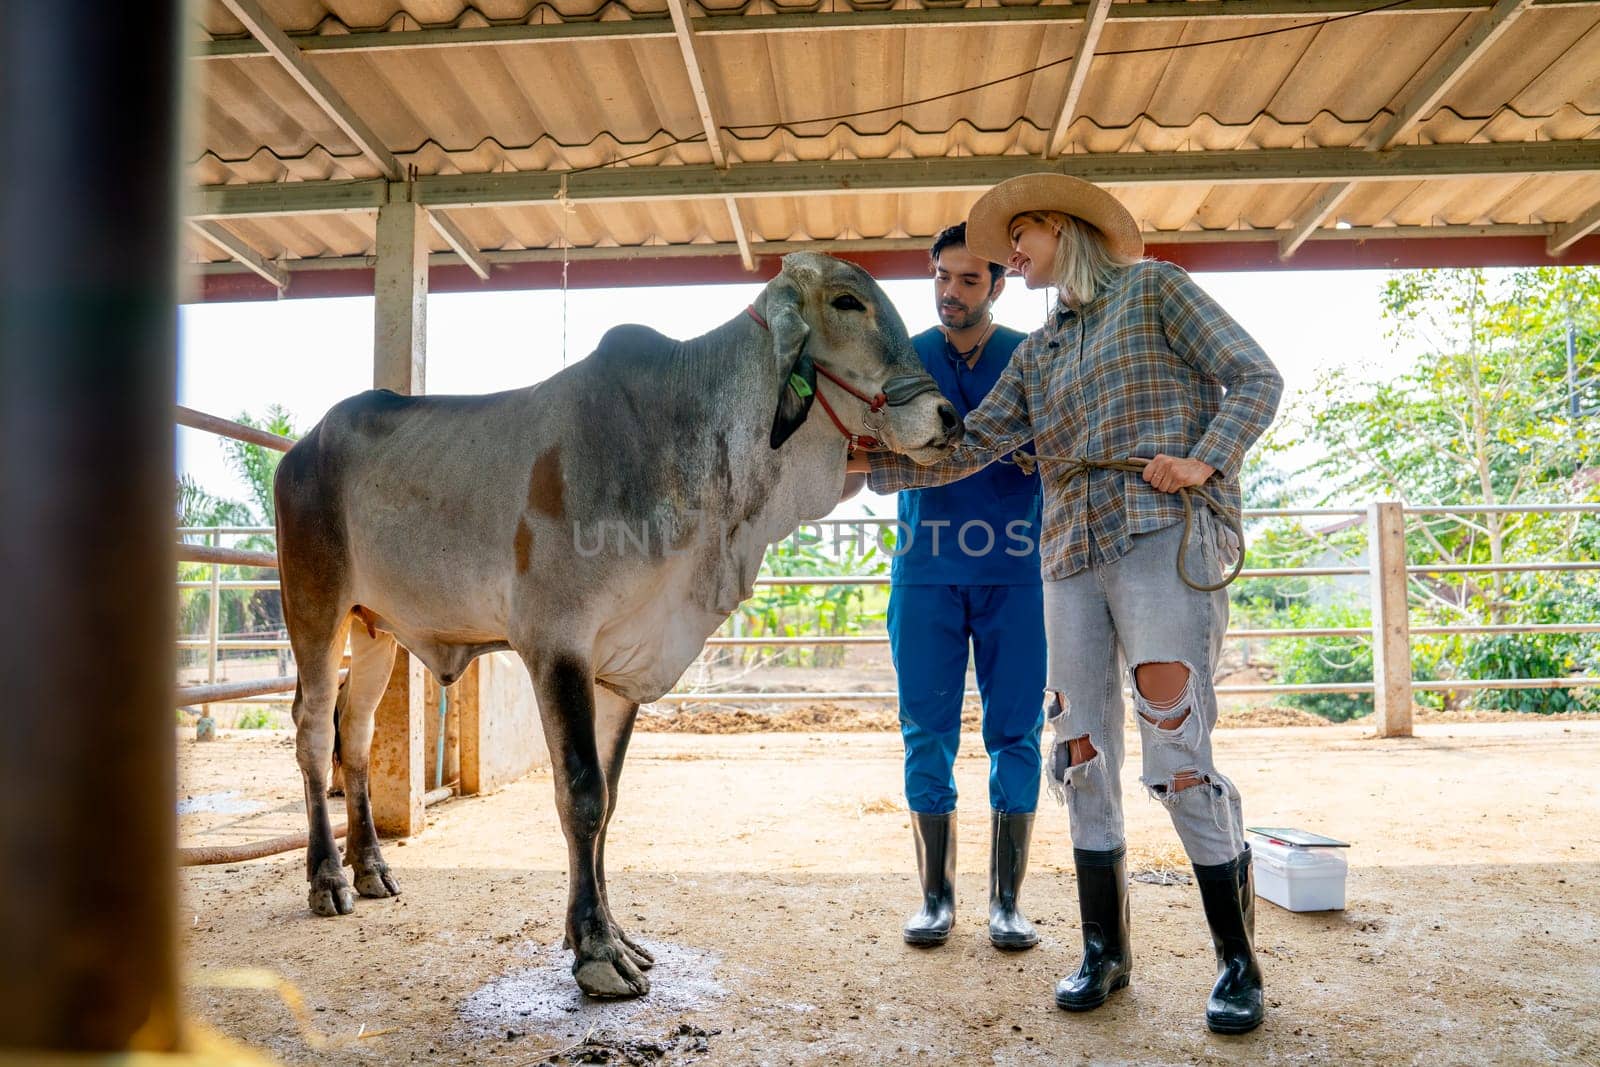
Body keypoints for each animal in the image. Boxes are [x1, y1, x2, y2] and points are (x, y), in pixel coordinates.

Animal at [275, 254, 960, 998]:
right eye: (846, 302)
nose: (948, 414)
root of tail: (302, 447)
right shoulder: (557, 645)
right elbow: (581, 792)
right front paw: (597, 951)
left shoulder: (623, 666)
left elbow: (608, 800)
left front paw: (607, 932)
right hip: (316, 606)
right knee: (314, 732)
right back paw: (328, 878)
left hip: (374, 630)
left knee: (357, 733)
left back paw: (372, 865)